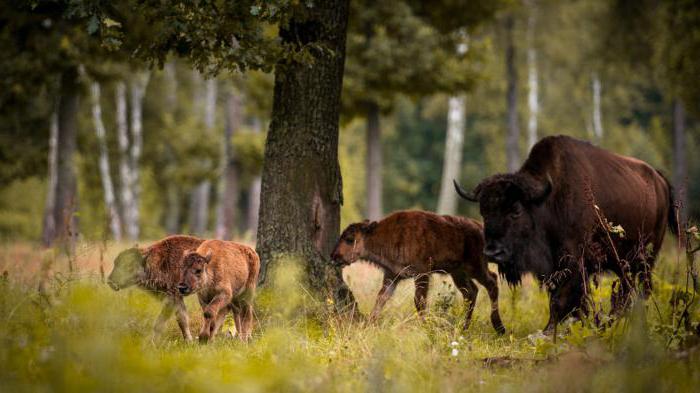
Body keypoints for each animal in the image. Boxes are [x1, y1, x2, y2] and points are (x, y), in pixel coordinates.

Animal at [330, 210, 506, 332]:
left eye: (350, 239)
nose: (334, 256)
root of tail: (479, 227)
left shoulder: (422, 274)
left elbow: (419, 301)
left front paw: (426, 326)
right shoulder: (392, 276)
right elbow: (381, 298)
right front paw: (368, 325)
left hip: (475, 267)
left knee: (491, 282)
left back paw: (499, 327)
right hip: (458, 273)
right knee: (471, 292)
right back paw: (464, 326)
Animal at [454, 135, 680, 330]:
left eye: (516, 210)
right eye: (483, 211)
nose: (493, 252)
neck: (547, 201)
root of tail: (660, 180)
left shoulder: (574, 262)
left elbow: (562, 300)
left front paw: (550, 330)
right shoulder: (555, 268)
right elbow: (560, 299)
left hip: (645, 258)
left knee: (641, 288)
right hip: (623, 262)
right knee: (627, 290)